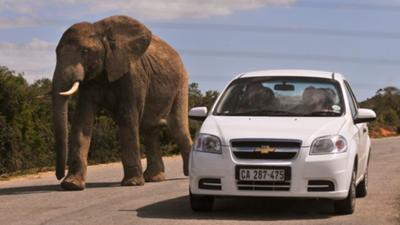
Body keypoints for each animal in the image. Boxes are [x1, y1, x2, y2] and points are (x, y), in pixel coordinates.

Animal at [52, 14, 193, 190]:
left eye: (85, 51)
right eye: (56, 53)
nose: (59, 176)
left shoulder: (133, 75)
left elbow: (127, 118)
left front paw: (132, 183)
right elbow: (82, 120)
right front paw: (72, 185)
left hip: (181, 83)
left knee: (178, 128)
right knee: (150, 130)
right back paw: (153, 178)